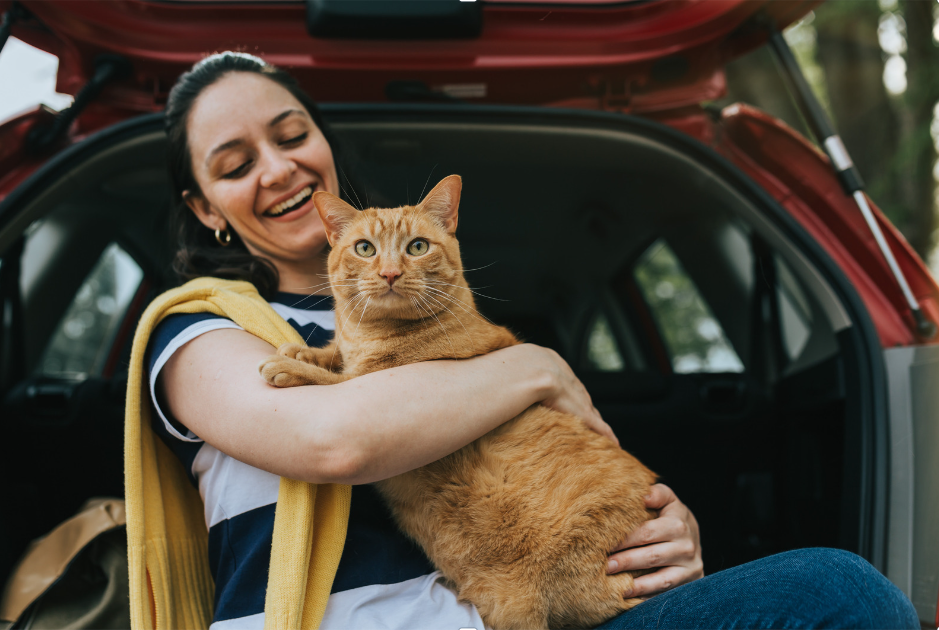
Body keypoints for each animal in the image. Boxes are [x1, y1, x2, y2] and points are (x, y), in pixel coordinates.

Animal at [258, 175, 652, 628]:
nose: (390, 273)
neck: (369, 335)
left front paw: (292, 367)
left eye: (417, 247)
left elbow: (337, 380)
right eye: (365, 249)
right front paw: (306, 351)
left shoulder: (384, 382)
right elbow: (334, 354)